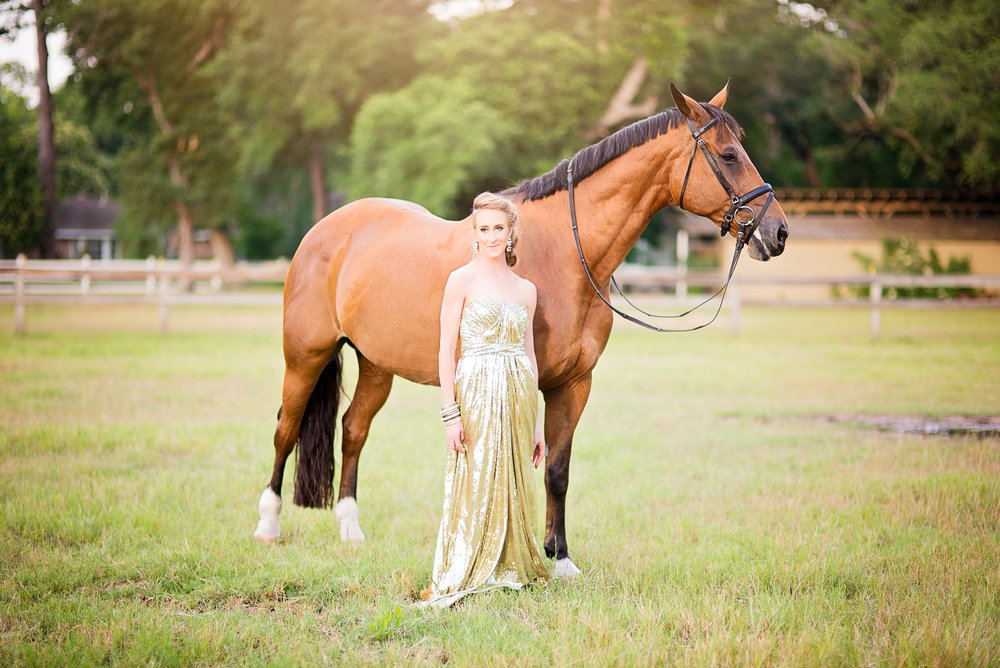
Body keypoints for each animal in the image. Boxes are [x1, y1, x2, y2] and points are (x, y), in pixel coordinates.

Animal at [256, 81, 788, 576]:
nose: (777, 232)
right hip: (305, 356)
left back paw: (350, 528)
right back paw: (268, 524)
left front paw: (560, 558)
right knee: (286, 429)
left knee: (354, 429)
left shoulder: (575, 384)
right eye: (728, 155)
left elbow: (557, 469)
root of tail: (326, 229)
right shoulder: (530, 379)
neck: (564, 252)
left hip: (376, 364)